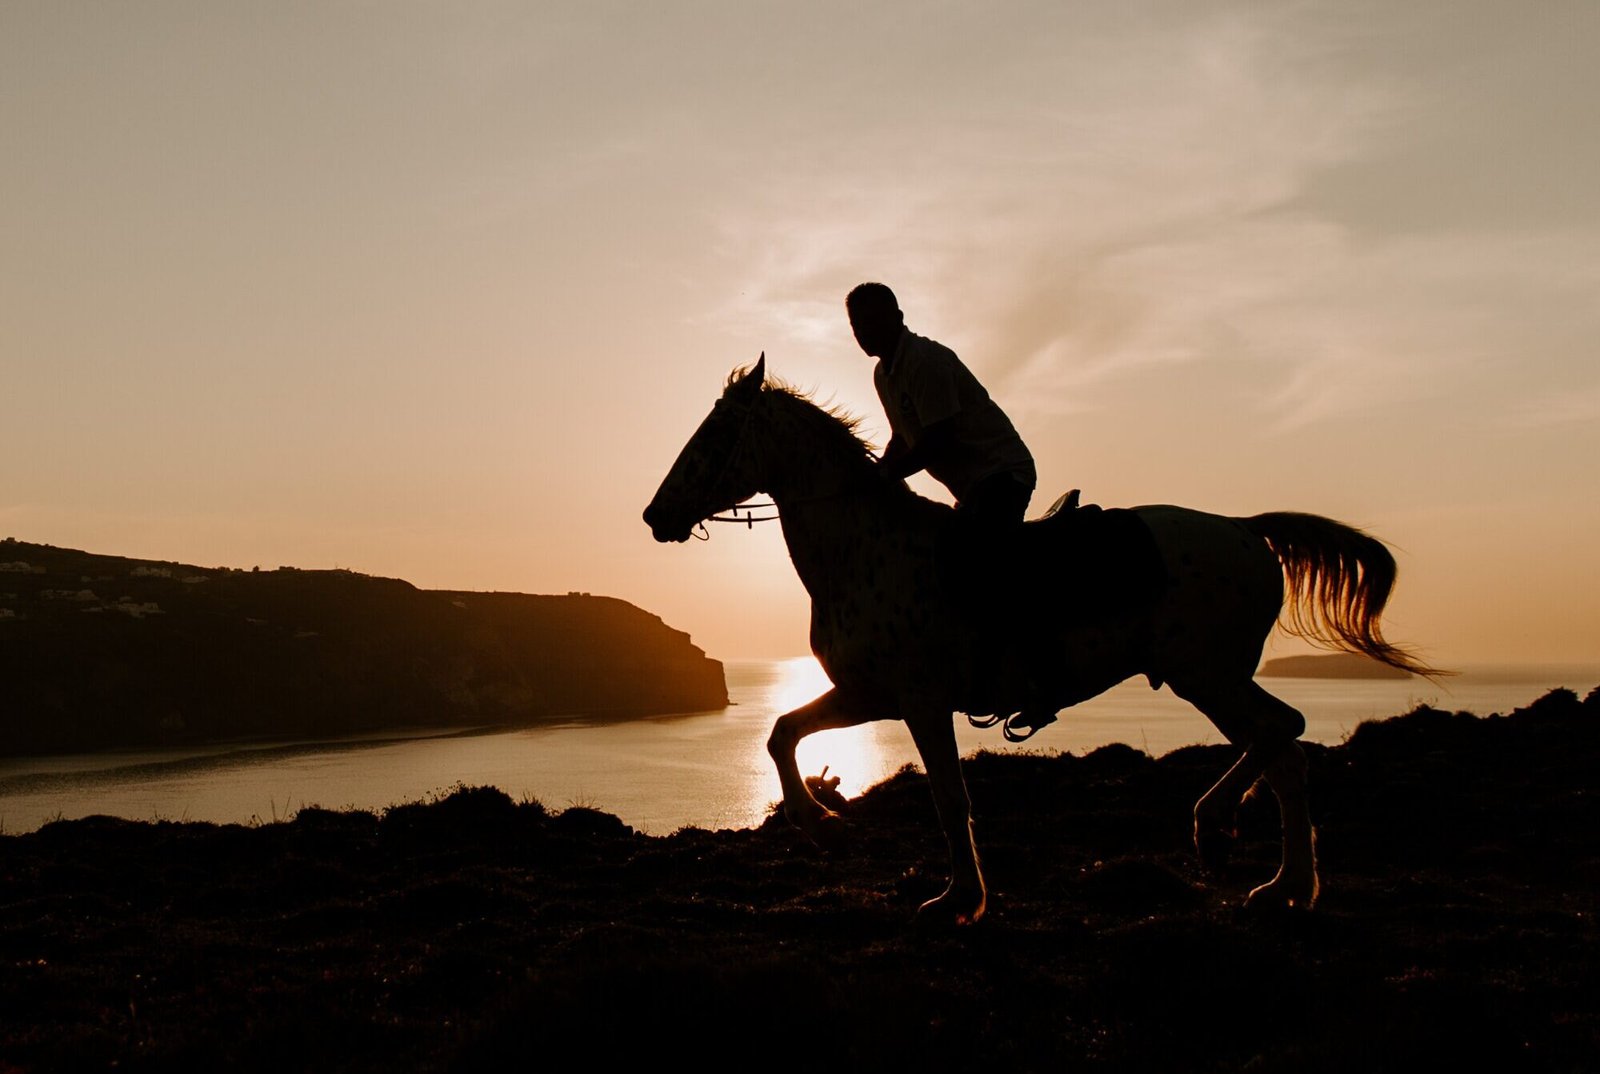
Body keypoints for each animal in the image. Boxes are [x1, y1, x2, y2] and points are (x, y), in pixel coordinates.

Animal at [643, 356, 1437, 923]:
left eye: (714, 436)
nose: (655, 515)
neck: (865, 547)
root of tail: (1246, 531)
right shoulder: (870, 694)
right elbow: (781, 732)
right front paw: (823, 823)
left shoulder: (919, 700)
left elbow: (949, 797)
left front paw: (959, 898)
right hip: (1210, 675)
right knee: (1281, 742)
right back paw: (1261, 864)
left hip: (1204, 674)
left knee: (1283, 738)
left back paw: (1251, 855)